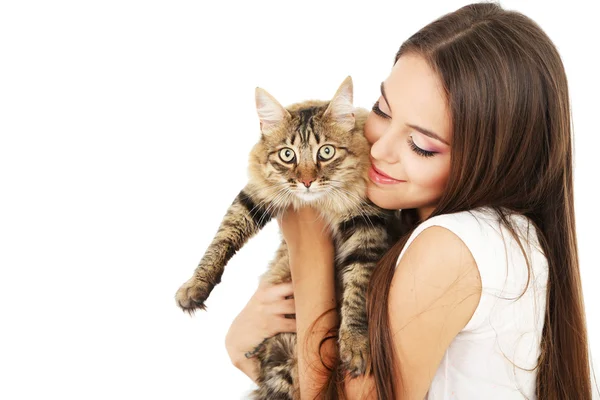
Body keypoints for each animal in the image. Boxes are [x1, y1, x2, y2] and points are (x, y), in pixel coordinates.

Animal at [176, 76, 400, 398]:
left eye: (326, 152)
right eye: (287, 154)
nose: (306, 182)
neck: (319, 203)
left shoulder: (366, 225)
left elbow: (357, 287)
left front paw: (355, 344)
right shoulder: (254, 197)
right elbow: (221, 238)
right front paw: (195, 286)